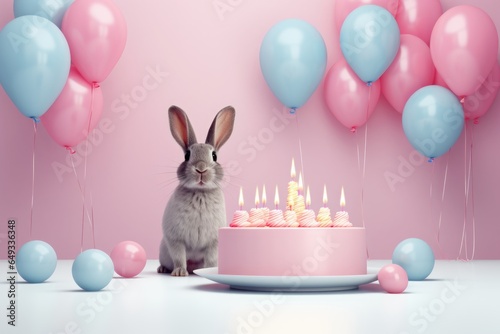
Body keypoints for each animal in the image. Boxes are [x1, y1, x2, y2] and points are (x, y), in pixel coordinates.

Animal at [159, 105, 235, 276]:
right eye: (187, 155)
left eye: (214, 155)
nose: (201, 168)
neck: (200, 192)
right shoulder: (176, 239)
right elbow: (179, 256)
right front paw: (180, 272)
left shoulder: (213, 243)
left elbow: (211, 259)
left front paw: (207, 270)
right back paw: (163, 269)